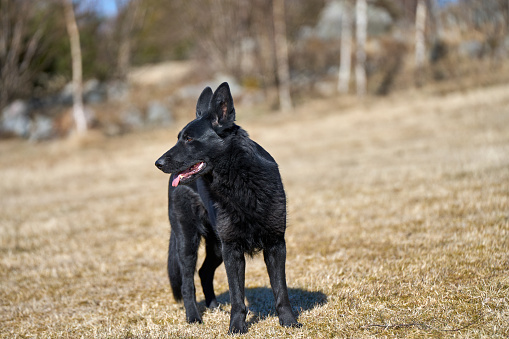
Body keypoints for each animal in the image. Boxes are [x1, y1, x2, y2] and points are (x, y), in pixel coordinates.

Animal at [153, 83, 300, 334]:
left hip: (216, 247)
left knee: (204, 272)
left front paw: (288, 322)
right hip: (188, 242)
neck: (239, 179)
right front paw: (236, 328)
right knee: (187, 283)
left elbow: (281, 290)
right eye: (179, 138)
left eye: (189, 139)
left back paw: (213, 307)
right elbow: (237, 296)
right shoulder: (232, 250)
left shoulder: (275, 245)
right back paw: (193, 317)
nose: (158, 163)